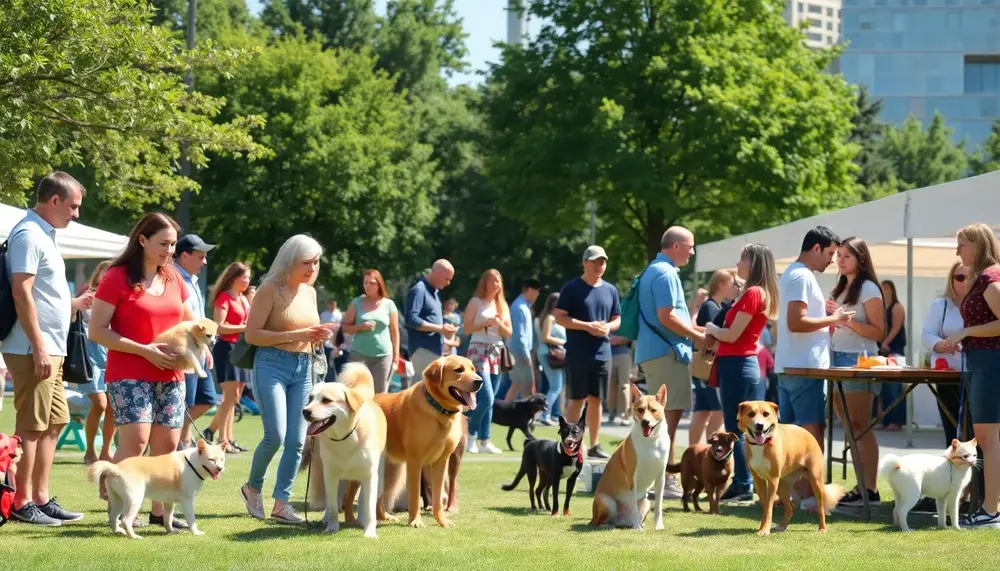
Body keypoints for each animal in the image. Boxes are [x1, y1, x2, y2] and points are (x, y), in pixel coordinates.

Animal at [87, 440, 227, 540]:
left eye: (222, 459)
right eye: (211, 459)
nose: (220, 469)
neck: (193, 463)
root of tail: (116, 467)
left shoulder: (169, 502)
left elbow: (168, 519)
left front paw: (171, 531)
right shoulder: (187, 501)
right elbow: (191, 519)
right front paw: (196, 532)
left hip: (118, 500)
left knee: (113, 517)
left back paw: (119, 531)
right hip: (135, 499)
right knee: (125, 520)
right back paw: (134, 536)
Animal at [300, 364, 386, 540]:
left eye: (326, 400)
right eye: (310, 398)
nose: (305, 411)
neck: (344, 438)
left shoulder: (369, 475)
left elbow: (369, 507)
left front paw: (370, 532)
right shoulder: (330, 474)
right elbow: (333, 506)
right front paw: (331, 528)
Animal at [376, 356, 484, 528]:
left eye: (473, 369)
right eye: (458, 370)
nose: (479, 381)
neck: (437, 409)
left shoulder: (441, 461)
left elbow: (438, 496)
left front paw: (442, 521)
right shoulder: (415, 461)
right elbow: (414, 496)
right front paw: (415, 521)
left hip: (391, 469)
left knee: (379, 496)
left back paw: (385, 517)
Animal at [588, 384, 668, 532]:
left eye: (653, 410)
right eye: (640, 410)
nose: (645, 422)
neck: (651, 440)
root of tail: (621, 520)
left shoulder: (660, 478)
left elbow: (659, 505)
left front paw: (659, 525)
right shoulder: (632, 478)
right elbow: (634, 509)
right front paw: (638, 528)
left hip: (646, 502)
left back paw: (634, 524)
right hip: (606, 501)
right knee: (599, 521)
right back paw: (611, 525)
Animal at [736, 402, 844, 536]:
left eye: (766, 414)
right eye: (751, 414)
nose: (759, 425)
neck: (763, 444)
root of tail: (807, 432)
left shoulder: (772, 480)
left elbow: (769, 507)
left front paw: (764, 530)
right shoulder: (759, 480)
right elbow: (765, 507)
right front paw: (763, 527)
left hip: (815, 480)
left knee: (821, 507)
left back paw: (822, 528)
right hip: (782, 484)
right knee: (790, 507)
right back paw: (782, 526)